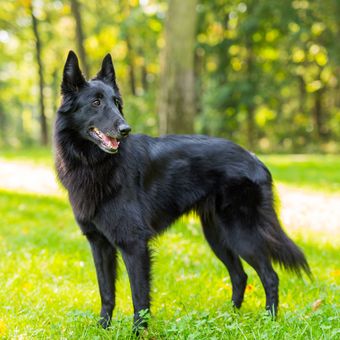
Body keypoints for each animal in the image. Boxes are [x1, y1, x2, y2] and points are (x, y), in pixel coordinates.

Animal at [53, 51, 310, 332]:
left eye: (116, 102)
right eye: (96, 102)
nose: (125, 130)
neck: (94, 164)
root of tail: (254, 158)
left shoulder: (134, 245)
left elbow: (139, 297)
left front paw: (137, 333)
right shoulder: (99, 244)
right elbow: (106, 292)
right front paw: (103, 328)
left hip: (241, 234)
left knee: (270, 276)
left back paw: (269, 321)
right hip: (217, 236)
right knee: (240, 275)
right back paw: (231, 318)